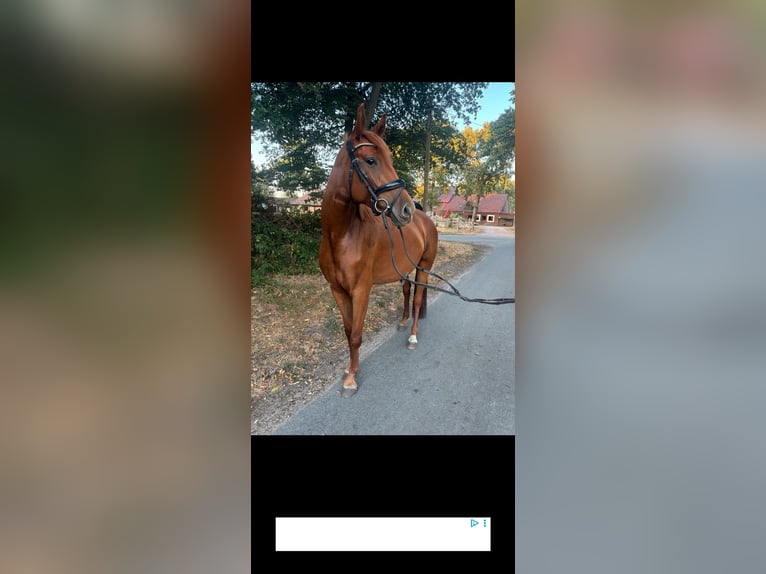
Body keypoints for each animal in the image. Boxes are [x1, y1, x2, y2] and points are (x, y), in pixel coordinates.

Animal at [319, 104, 439, 398]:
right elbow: (347, 330)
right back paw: (403, 322)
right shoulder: (338, 290)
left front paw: (351, 380)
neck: (341, 237)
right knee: (407, 292)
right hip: (405, 268)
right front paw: (348, 369)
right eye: (371, 160)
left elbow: (356, 334)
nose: (405, 209)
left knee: (417, 299)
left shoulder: (361, 289)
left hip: (424, 267)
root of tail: (425, 219)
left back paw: (412, 335)